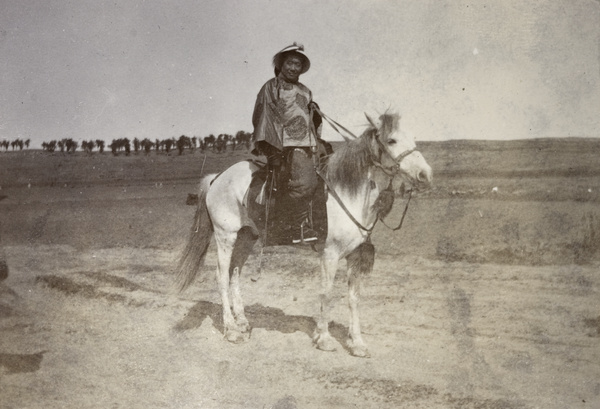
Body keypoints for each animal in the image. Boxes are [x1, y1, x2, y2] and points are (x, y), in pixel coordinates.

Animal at [176, 112, 434, 356]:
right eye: (391, 140)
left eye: (413, 138)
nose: (425, 175)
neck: (348, 193)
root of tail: (217, 178)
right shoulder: (330, 255)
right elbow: (326, 294)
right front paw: (324, 339)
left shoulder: (355, 256)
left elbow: (353, 298)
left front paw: (357, 343)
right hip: (225, 236)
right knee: (221, 276)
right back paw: (230, 330)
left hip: (247, 237)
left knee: (234, 273)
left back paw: (242, 322)